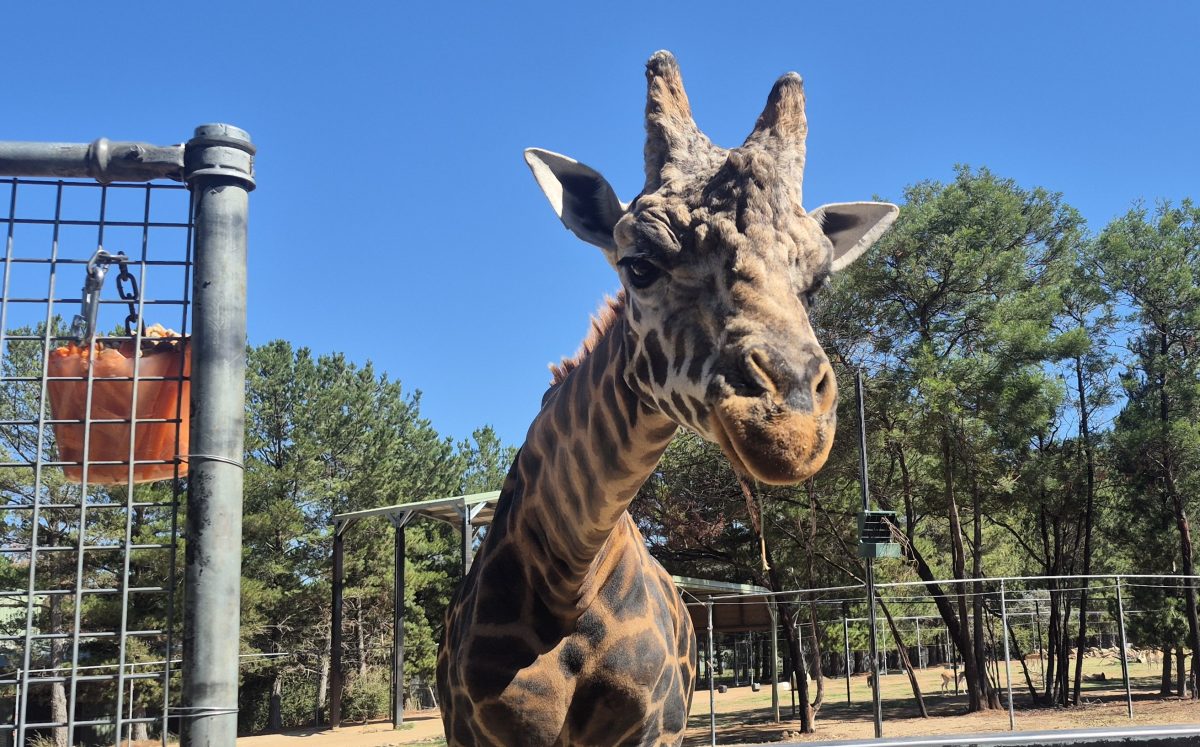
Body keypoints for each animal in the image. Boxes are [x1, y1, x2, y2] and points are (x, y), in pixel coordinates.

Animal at [436, 51, 898, 746]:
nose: (791, 427)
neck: (568, 573)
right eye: (639, 265)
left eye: (815, 283)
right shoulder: (478, 734)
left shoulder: (654, 727)